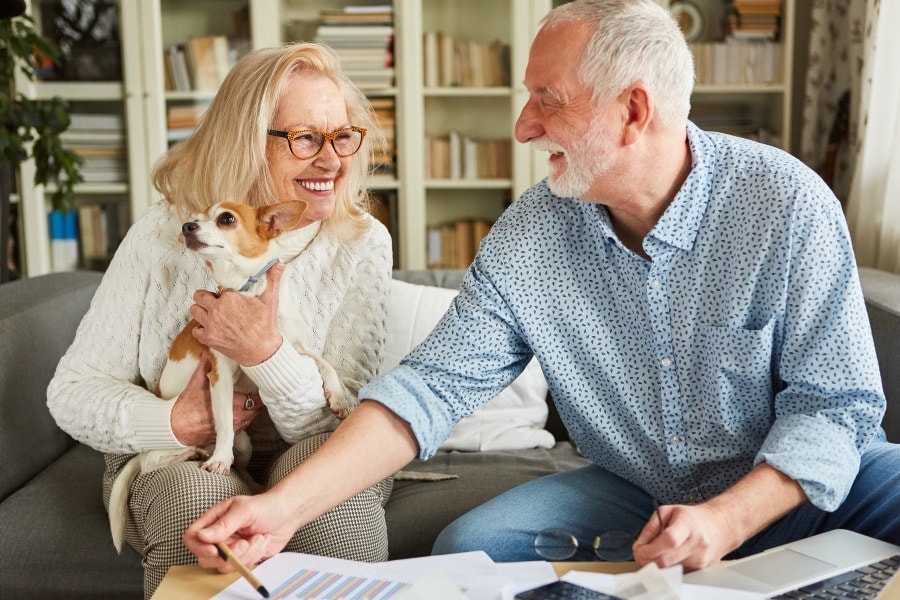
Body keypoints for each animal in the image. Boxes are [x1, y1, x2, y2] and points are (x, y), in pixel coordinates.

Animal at [107, 202, 354, 552]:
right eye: (195, 217)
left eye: (226, 218)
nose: (187, 226)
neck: (246, 291)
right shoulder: (220, 375)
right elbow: (223, 421)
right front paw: (220, 459)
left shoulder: (294, 349)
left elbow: (325, 364)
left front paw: (339, 396)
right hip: (168, 446)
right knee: (151, 462)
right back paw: (195, 453)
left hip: (247, 444)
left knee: (240, 463)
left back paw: (251, 481)